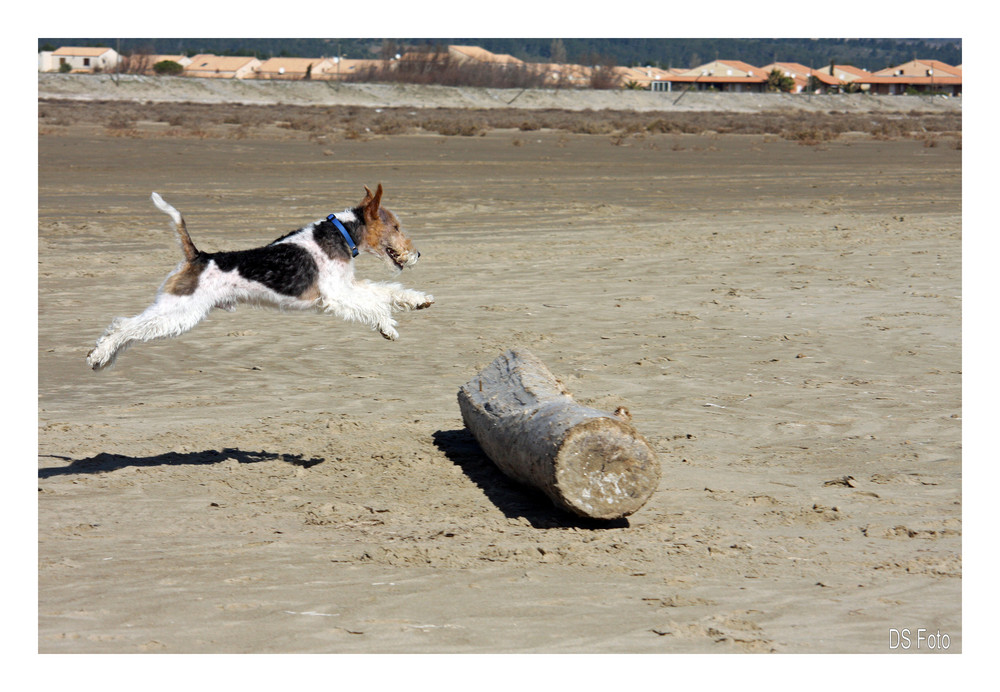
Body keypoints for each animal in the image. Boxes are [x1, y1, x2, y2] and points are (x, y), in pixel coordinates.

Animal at [83, 181, 434, 370]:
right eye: (396, 226)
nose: (417, 254)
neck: (341, 234)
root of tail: (197, 255)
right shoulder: (336, 295)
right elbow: (375, 305)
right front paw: (387, 327)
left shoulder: (347, 286)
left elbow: (386, 291)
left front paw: (419, 301)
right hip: (179, 309)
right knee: (125, 326)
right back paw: (99, 354)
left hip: (176, 310)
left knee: (129, 328)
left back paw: (104, 357)